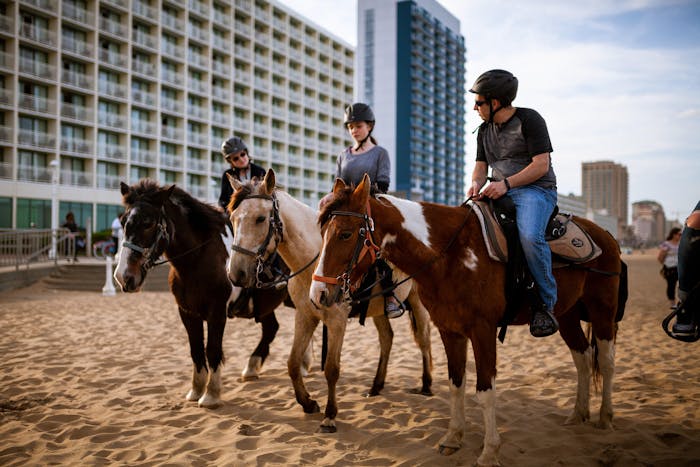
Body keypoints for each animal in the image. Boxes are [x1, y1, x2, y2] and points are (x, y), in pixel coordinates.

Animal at [115, 181, 290, 408]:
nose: (123, 276)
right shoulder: (187, 313)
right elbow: (196, 350)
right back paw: (253, 367)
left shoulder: (217, 313)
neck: (199, 259)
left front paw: (211, 394)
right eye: (123, 221)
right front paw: (196, 389)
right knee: (271, 328)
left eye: (147, 223)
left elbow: (212, 349)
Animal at [226, 172, 432, 436]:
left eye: (260, 218)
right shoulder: (305, 316)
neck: (314, 260)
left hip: (418, 302)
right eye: (233, 219)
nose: (236, 274)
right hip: (378, 310)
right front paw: (308, 403)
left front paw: (330, 416)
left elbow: (332, 368)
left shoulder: (336, 321)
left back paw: (426, 385)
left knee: (424, 338)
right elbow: (292, 363)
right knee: (387, 339)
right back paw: (376, 386)